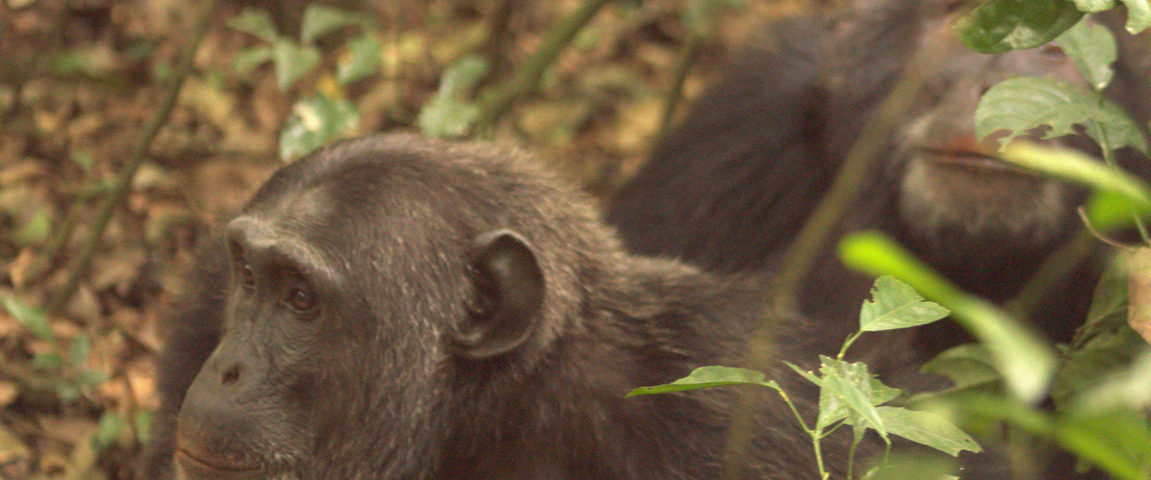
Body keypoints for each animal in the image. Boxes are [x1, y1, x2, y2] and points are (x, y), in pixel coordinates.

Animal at [139, 132, 870, 478]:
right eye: (249, 277)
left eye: (300, 298)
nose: (228, 368)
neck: (493, 410)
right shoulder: (203, 299)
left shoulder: (740, 414)